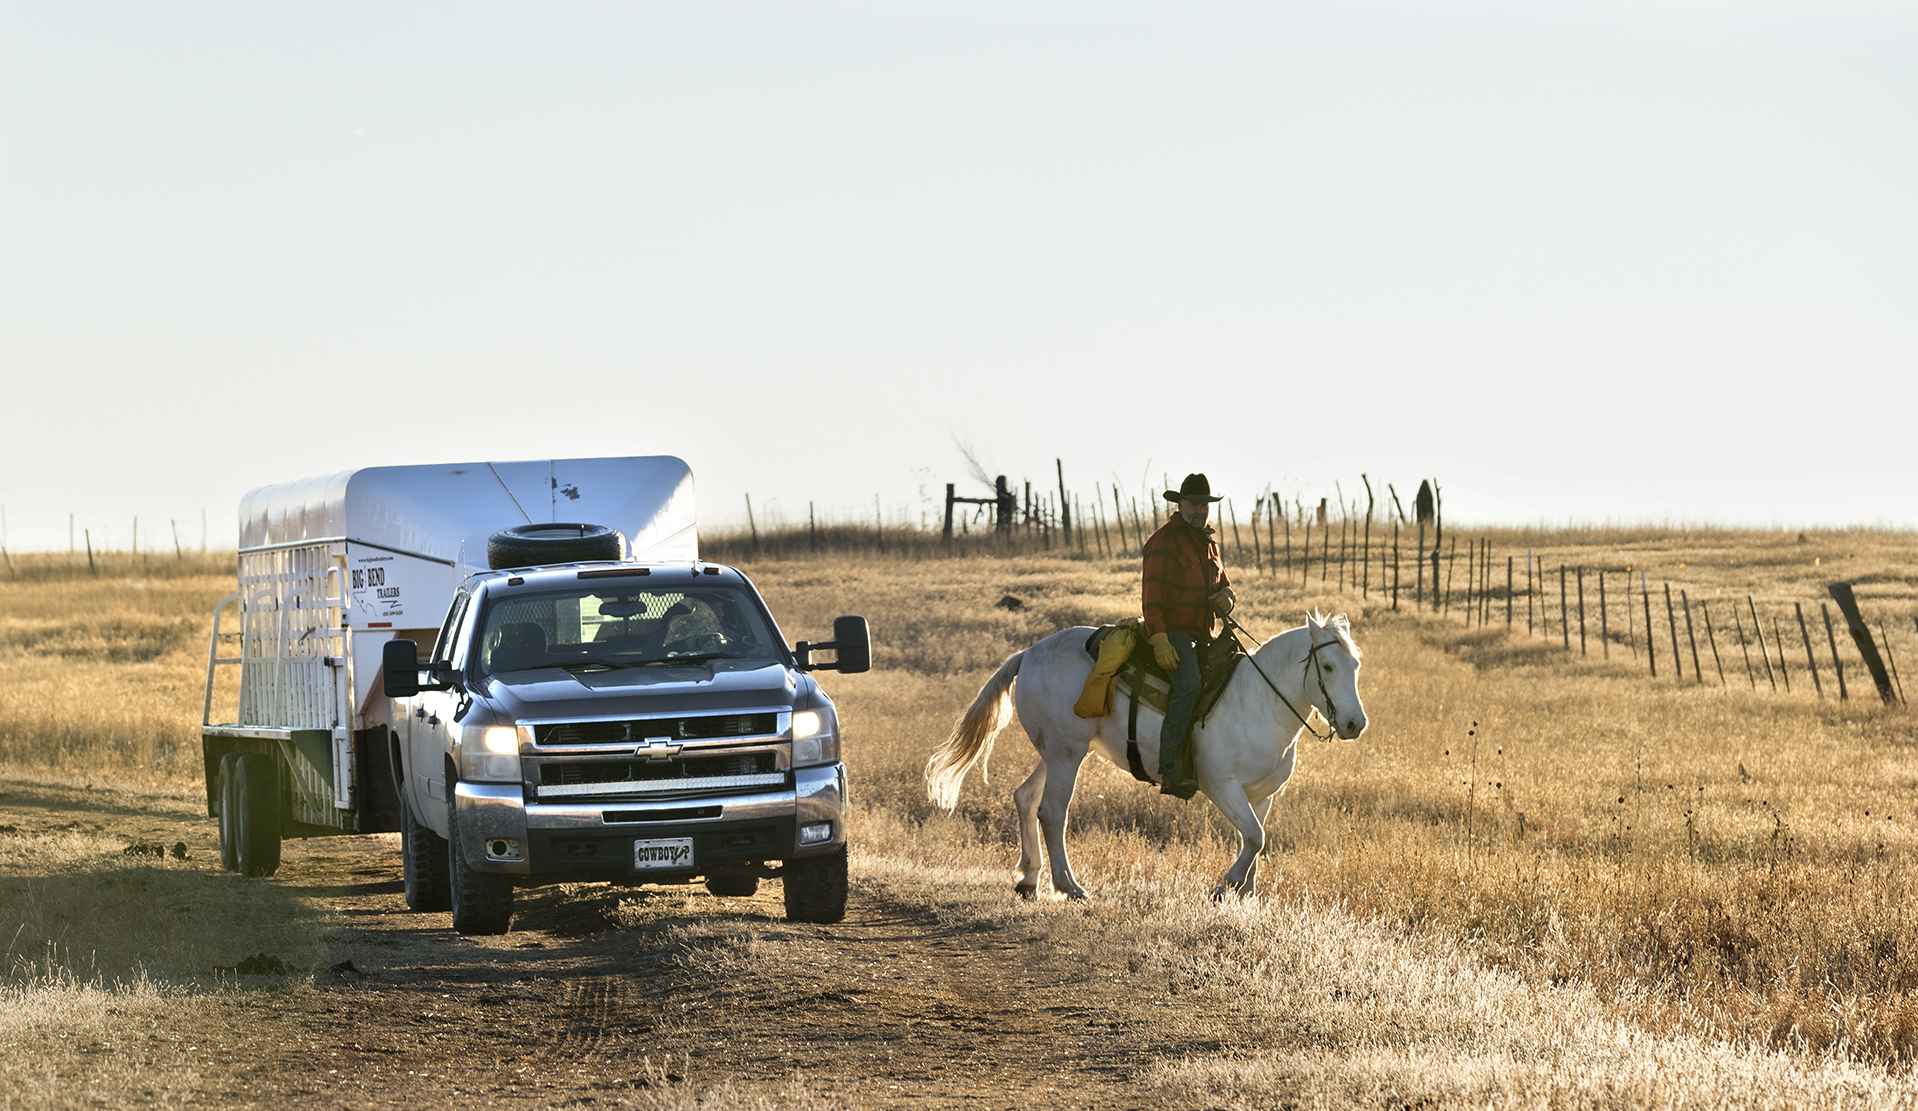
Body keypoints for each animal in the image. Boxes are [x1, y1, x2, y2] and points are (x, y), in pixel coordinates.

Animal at [924, 617, 1365, 905]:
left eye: (1356, 665)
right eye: (1328, 666)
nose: (1355, 723)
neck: (1257, 700)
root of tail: (1029, 653)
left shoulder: (1262, 794)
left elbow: (1253, 840)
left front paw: (1246, 893)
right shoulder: (1222, 787)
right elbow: (1255, 838)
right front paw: (1225, 887)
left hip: (1058, 752)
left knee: (1025, 798)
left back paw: (1029, 880)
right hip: (1067, 755)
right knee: (1052, 812)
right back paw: (1069, 887)